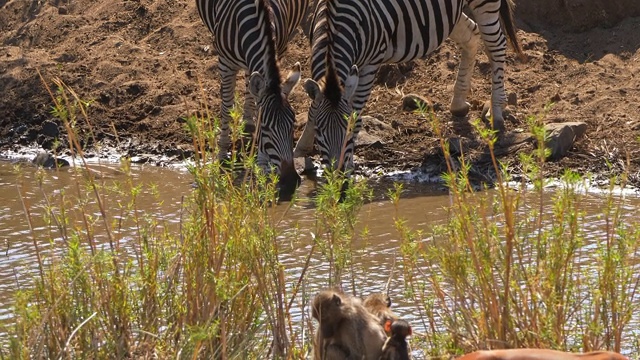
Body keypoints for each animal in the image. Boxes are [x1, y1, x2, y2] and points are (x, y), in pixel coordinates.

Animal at [196, 0, 312, 197]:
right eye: (265, 128)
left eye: (293, 125)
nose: (290, 182)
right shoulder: (225, 64)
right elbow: (226, 110)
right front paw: (222, 156)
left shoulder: (278, 49)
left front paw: (262, 163)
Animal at [296, 0, 524, 173]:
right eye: (319, 129)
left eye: (346, 128)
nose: (336, 174)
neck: (335, 22)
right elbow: (312, 109)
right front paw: (301, 147)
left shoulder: (370, 65)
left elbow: (357, 112)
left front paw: (350, 159)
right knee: (471, 36)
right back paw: (458, 103)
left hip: (486, 3)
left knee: (497, 45)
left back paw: (496, 113)